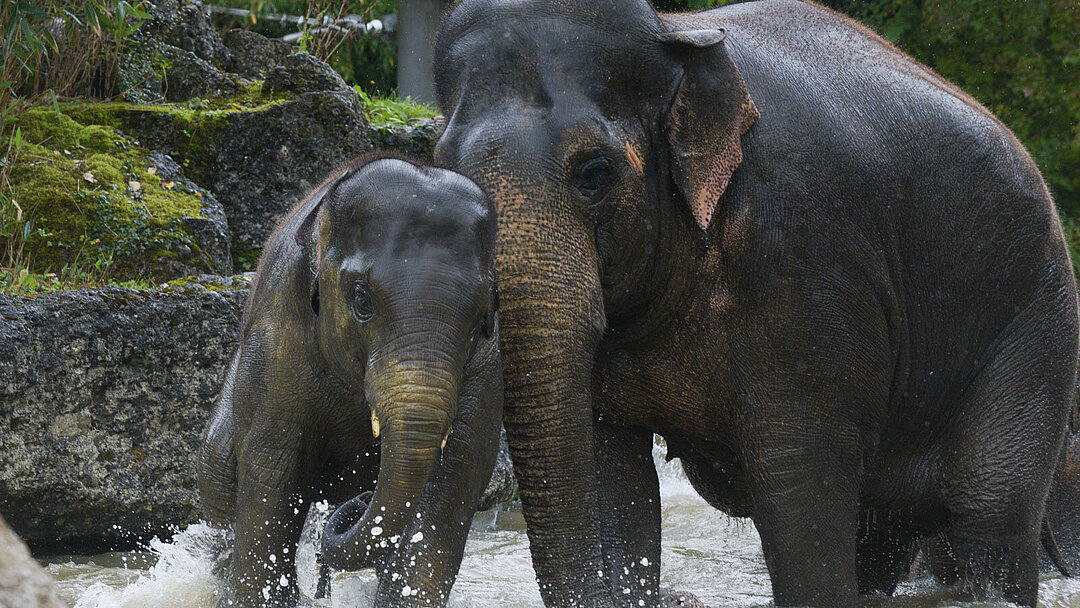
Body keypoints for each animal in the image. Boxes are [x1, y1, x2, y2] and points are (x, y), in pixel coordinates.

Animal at [198, 155, 501, 608]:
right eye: (362, 301)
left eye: (479, 320)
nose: (358, 499)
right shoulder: (277, 333)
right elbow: (273, 464)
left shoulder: (488, 362)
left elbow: (457, 473)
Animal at [432, 1, 1080, 608]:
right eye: (448, 169)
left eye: (595, 172)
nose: (677, 597)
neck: (672, 33)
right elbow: (610, 470)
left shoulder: (807, 256)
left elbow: (797, 479)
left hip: (1035, 322)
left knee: (988, 515)